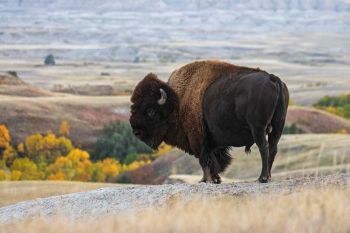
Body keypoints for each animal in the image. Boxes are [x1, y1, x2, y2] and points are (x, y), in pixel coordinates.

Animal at [130, 60, 288, 184]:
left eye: (151, 111)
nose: (136, 132)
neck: (177, 102)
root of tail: (273, 79)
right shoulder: (212, 142)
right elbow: (213, 160)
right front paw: (216, 179)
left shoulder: (198, 139)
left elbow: (204, 160)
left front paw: (205, 180)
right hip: (278, 127)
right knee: (273, 148)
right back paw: (269, 177)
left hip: (258, 128)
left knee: (264, 148)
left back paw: (262, 178)